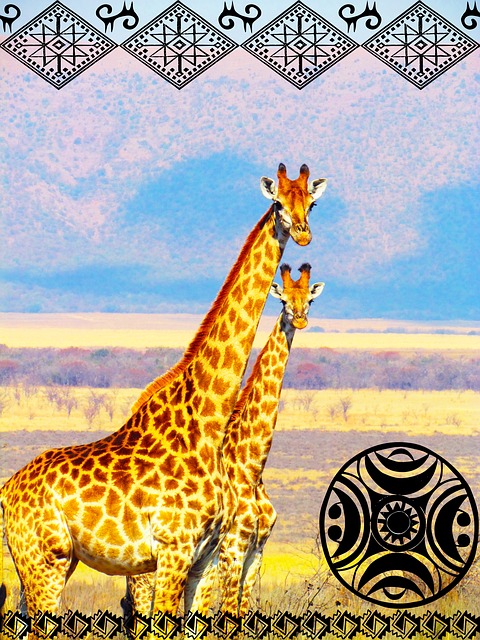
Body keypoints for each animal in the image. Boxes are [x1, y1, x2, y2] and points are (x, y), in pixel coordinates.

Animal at [123, 263, 324, 618]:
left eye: (309, 300)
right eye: (283, 299)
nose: (299, 319)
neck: (253, 466)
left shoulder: (256, 550)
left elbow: (242, 615)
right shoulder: (232, 548)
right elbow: (228, 617)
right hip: (149, 570)